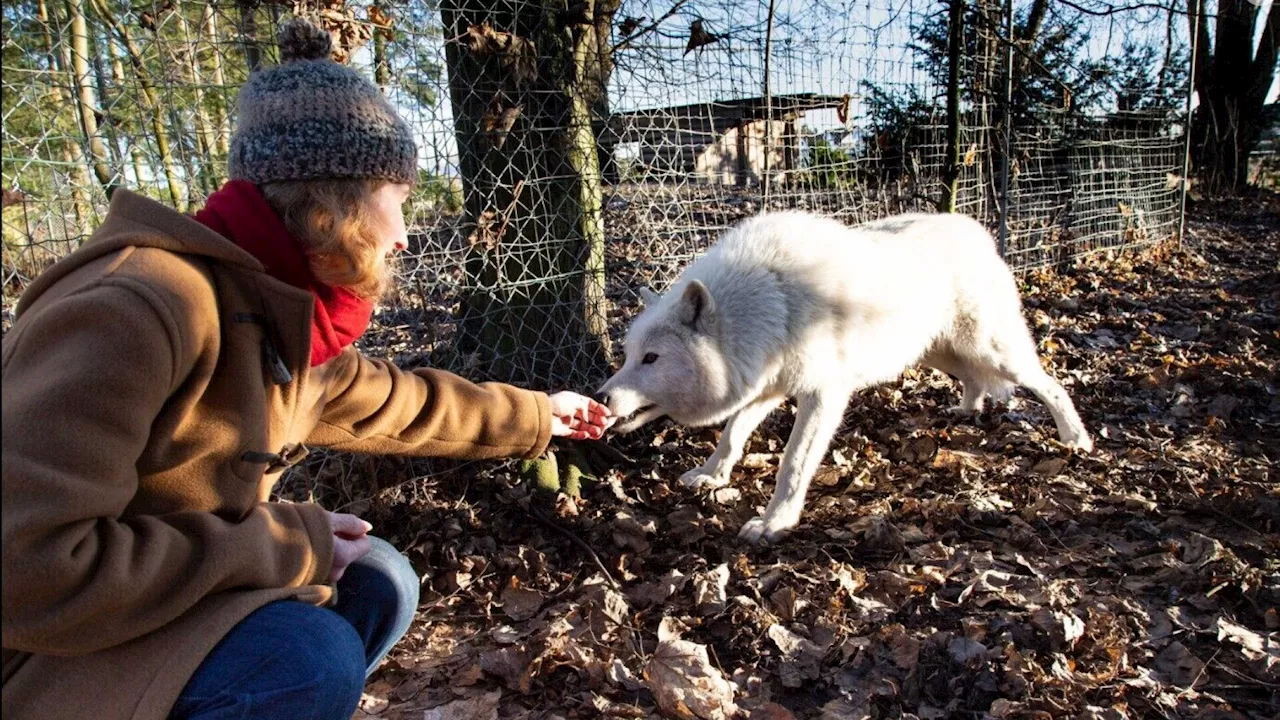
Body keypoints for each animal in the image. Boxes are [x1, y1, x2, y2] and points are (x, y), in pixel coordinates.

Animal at [596, 210, 1090, 540]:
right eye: (627, 355)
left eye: (651, 359)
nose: (600, 398)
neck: (767, 303)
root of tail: (979, 232)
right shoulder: (767, 386)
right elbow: (732, 434)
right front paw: (712, 475)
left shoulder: (823, 394)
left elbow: (793, 464)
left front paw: (775, 522)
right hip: (937, 353)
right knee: (974, 379)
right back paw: (967, 410)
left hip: (992, 352)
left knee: (1050, 383)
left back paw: (1076, 438)